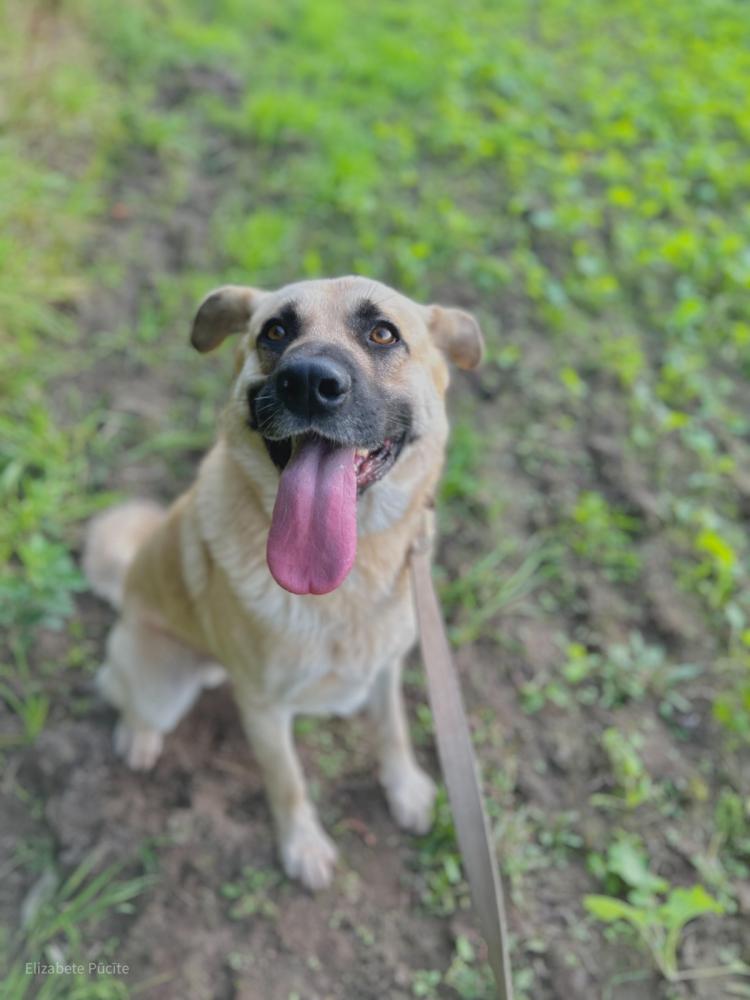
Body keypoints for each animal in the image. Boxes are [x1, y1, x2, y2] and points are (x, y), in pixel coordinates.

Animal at [83, 275, 483, 890]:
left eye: (383, 333)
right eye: (275, 331)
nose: (310, 384)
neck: (346, 579)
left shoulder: (387, 666)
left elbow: (392, 728)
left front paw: (405, 789)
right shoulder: (265, 709)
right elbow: (287, 781)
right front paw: (304, 848)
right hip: (159, 681)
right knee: (118, 690)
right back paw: (138, 738)